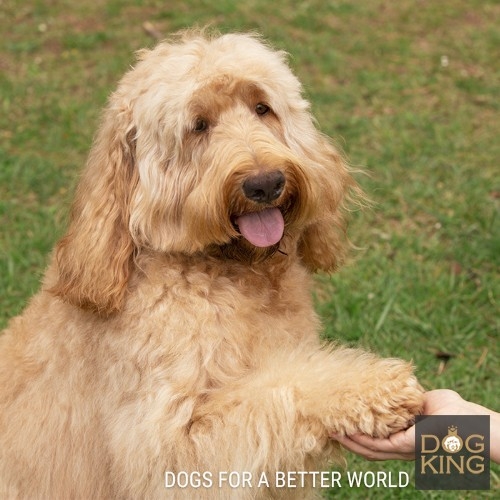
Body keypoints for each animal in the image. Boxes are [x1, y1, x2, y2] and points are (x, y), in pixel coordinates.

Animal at [0, 32, 424, 500]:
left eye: (262, 107)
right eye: (198, 125)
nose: (265, 184)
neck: (226, 272)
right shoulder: (170, 446)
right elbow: (279, 392)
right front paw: (372, 389)